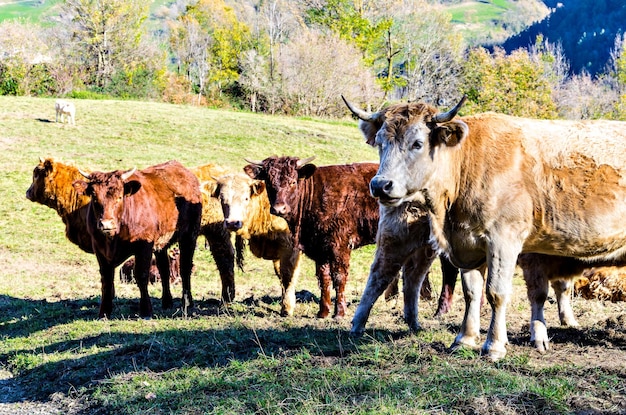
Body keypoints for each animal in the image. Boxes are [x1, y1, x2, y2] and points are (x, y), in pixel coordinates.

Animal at [72, 162, 201, 318]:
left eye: (119, 197)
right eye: (94, 197)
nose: (106, 224)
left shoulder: (143, 246)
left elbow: (141, 275)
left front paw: (146, 310)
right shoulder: (99, 248)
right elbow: (106, 279)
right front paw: (104, 312)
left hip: (189, 235)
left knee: (185, 268)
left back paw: (187, 302)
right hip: (161, 243)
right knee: (164, 269)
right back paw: (167, 302)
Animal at [206, 175, 302, 316]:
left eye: (246, 198)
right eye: (222, 199)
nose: (232, 223)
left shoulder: (290, 247)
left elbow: (288, 275)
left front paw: (287, 308)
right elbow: (280, 274)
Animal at [342, 96, 626, 362]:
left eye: (417, 143)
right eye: (380, 142)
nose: (380, 185)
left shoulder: (502, 242)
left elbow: (495, 293)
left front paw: (493, 345)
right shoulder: (469, 245)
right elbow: (472, 292)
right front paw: (465, 339)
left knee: (402, 275)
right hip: (399, 238)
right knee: (383, 274)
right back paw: (361, 326)